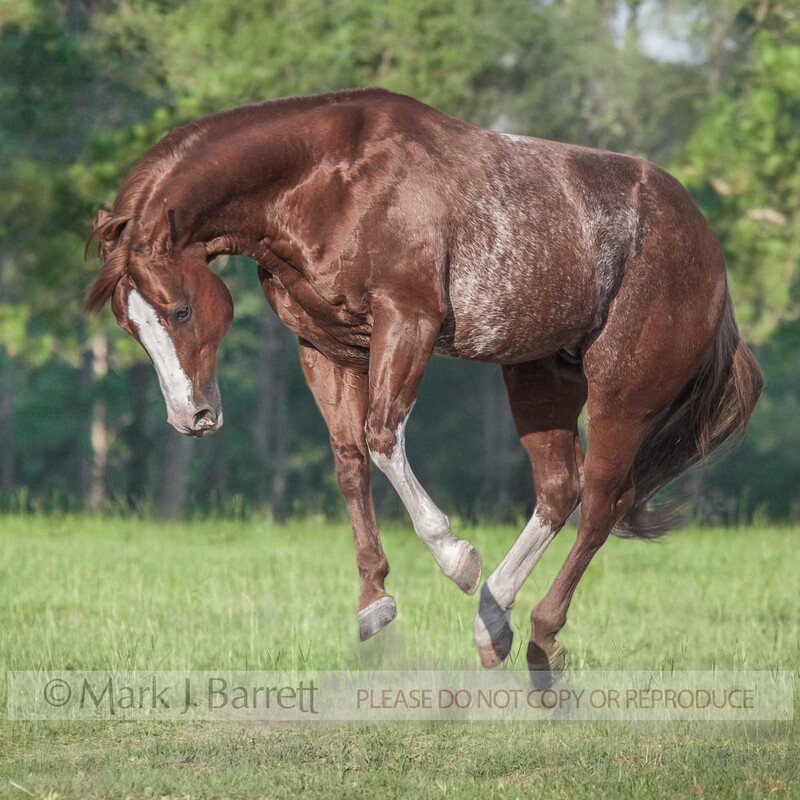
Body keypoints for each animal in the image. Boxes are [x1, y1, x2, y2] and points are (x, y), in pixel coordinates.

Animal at [86, 88, 762, 683]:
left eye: (177, 311)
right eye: (129, 324)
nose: (191, 417)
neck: (330, 181)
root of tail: (706, 247)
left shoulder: (408, 321)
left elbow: (384, 439)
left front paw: (455, 558)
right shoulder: (327, 348)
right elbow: (350, 460)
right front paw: (374, 602)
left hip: (622, 397)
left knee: (600, 503)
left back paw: (539, 636)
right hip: (538, 378)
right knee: (559, 489)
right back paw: (492, 624)